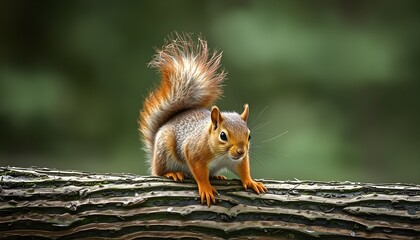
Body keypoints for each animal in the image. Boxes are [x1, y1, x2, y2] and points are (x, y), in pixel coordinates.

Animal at [139, 33, 268, 206]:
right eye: (223, 135)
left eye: (249, 136)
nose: (241, 151)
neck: (222, 155)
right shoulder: (194, 151)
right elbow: (199, 173)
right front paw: (206, 188)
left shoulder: (238, 160)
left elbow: (244, 169)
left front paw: (251, 181)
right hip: (164, 152)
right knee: (158, 172)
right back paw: (172, 173)